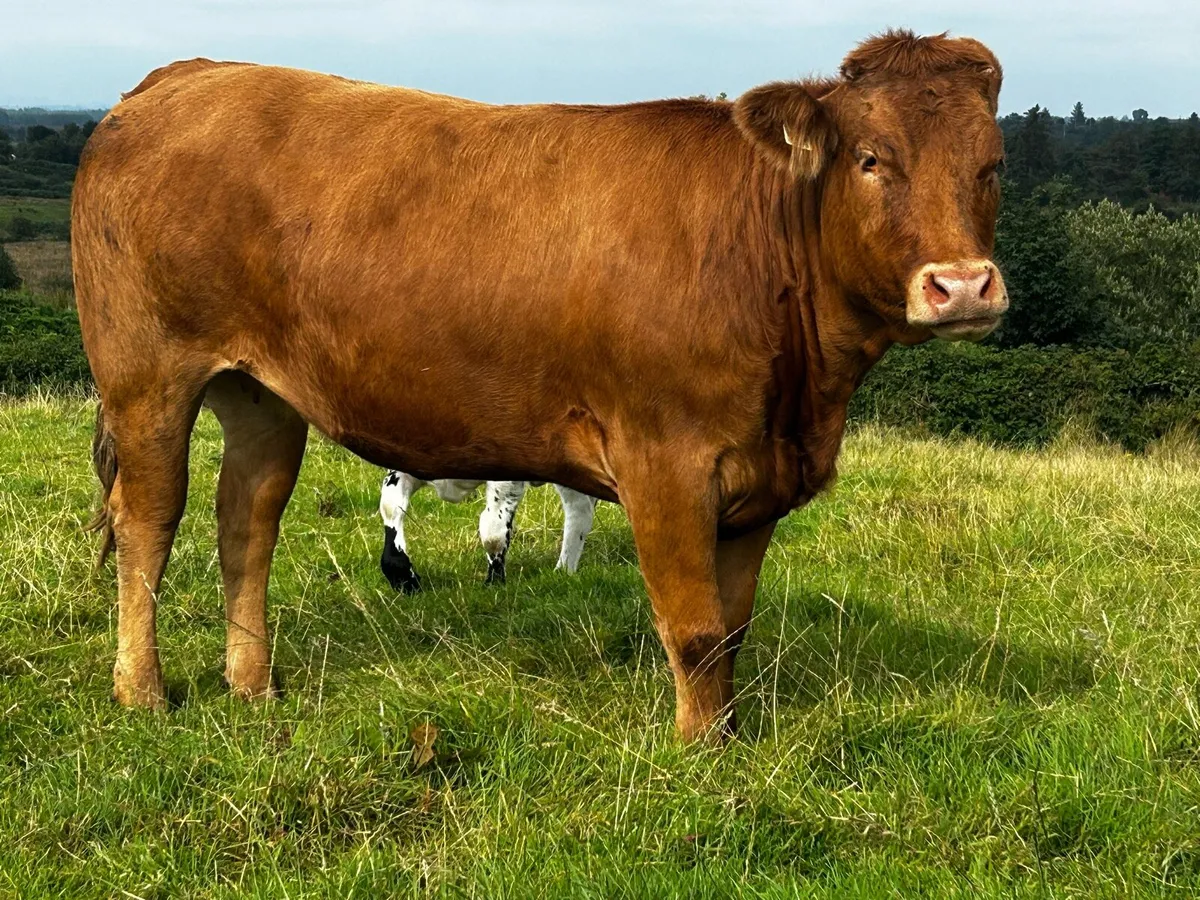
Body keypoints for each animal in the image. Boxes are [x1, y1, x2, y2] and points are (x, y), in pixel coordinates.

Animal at [379, 472, 597, 592]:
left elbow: (493, 533)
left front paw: (494, 583)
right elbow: (390, 506)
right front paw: (405, 581)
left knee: (579, 509)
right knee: (582, 507)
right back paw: (564, 571)